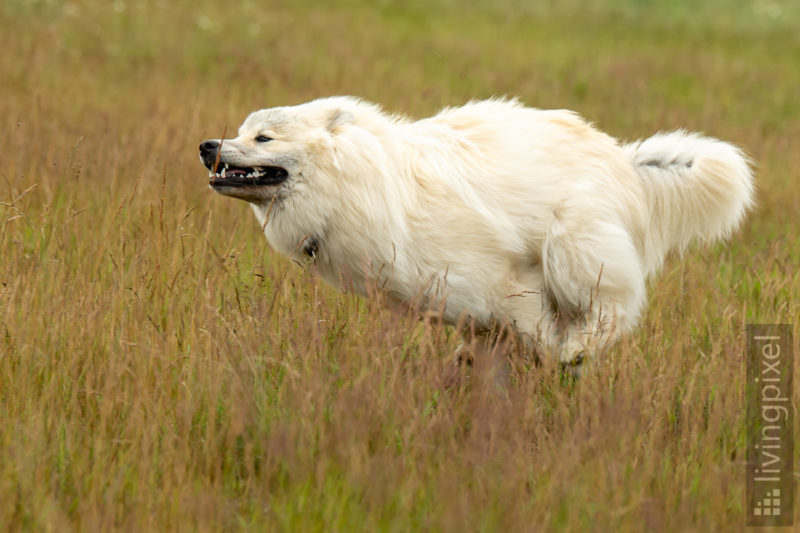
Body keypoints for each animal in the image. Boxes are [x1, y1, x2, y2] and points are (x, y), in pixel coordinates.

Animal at [197, 96, 752, 366]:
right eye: (241, 131)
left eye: (263, 138)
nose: (207, 145)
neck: (362, 180)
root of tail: (623, 161)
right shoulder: (468, 302)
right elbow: (497, 341)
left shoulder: (505, 279)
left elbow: (537, 335)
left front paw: (552, 361)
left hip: (572, 250)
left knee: (611, 312)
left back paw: (577, 353)